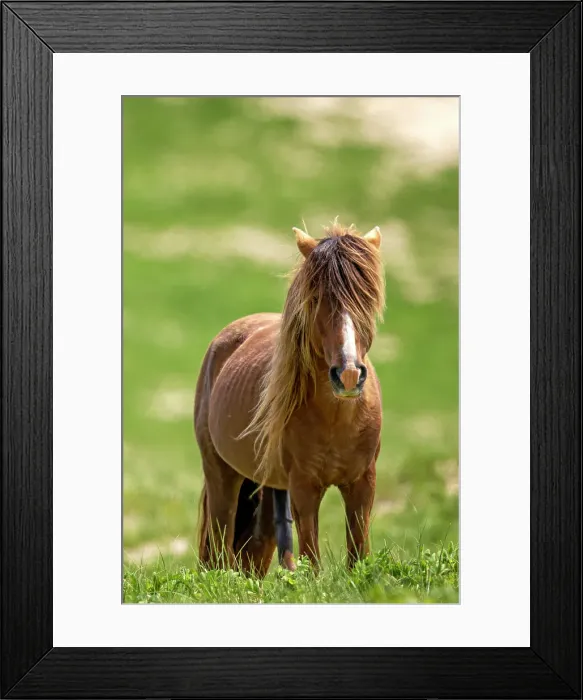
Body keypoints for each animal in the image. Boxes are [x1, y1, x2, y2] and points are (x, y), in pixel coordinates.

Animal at [195, 221, 385, 574]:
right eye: (317, 297)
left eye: (368, 296)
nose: (348, 374)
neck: (338, 417)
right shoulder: (304, 489)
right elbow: (313, 560)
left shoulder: (363, 484)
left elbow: (358, 555)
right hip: (222, 475)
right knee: (220, 546)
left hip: (269, 485)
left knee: (258, 547)